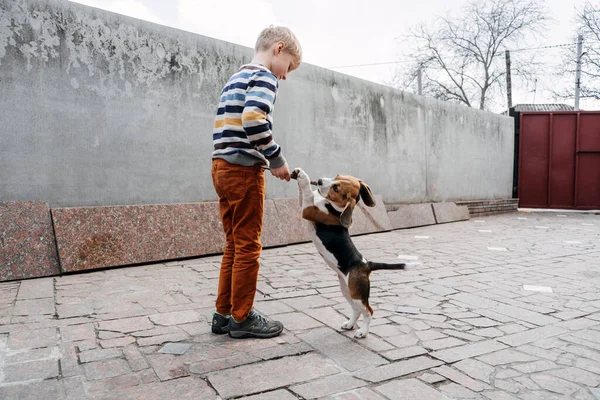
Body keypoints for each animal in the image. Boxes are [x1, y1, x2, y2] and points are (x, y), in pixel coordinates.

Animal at [290, 167, 406, 340]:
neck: (333, 206)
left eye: (336, 188)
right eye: (337, 176)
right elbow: (304, 195)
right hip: (347, 290)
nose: (319, 181)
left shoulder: (308, 210)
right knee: (357, 310)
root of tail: (366, 265)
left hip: (357, 294)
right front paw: (298, 174)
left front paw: (304, 177)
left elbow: (308, 193)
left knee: (368, 311)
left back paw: (362, 332)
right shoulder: (304, 205)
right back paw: (350, 324)